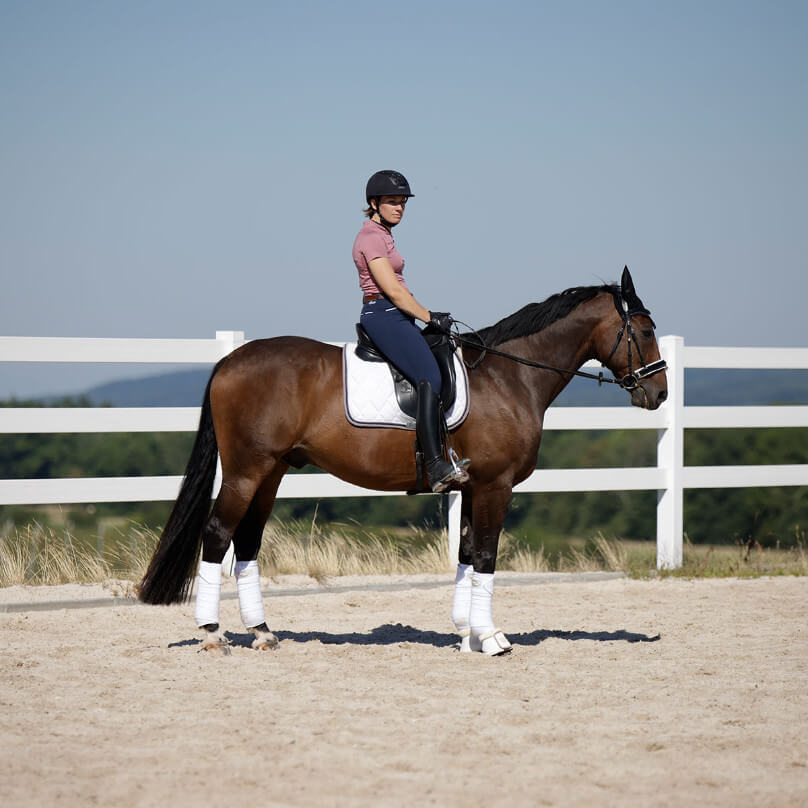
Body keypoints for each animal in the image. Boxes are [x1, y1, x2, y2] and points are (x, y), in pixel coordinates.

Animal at [140, 268, 668, 652]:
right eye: (644, 330)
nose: (660, 393)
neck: (509, 376)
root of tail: (228, 362)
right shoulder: (495, 486)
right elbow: (487, 556)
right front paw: (492, 638)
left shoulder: (473, 487)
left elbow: (467, 555)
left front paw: (466, 634)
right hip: (247, 471)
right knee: (218, 534)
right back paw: (212, 634)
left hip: (272, 472)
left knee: (247, 541)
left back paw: (264, 633)